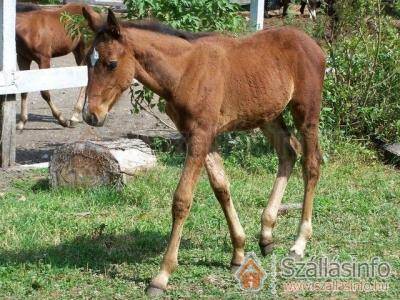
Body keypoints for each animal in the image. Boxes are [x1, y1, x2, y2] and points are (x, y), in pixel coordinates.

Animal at [81, 8, 324, 296]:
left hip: (306, 113)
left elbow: (182, 200)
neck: (184, 72)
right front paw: (238, 252)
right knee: (288, 152)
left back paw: (299, 242)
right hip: (268, 115)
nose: (90, 115)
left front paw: (161, 276)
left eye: (111, 63)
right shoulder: (201, 135)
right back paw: (266, 235)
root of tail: (312, 43)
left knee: (311, 164)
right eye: (86, 61)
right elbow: (221, 187)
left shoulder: (200, 135)